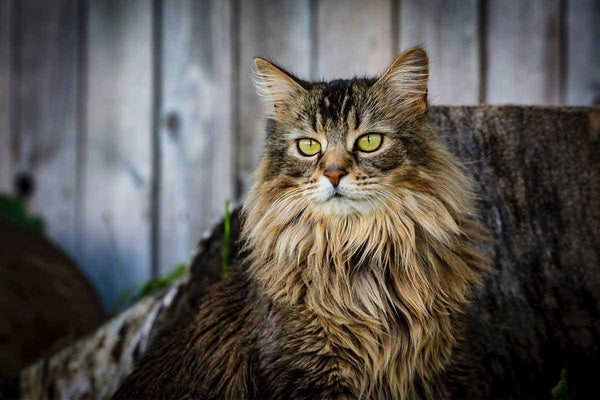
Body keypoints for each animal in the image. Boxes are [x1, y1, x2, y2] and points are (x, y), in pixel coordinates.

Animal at [112, 47, 488, 400]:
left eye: (369, 141)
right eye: (308, 146)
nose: (334, 174)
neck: (358, 256)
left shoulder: (443, 367)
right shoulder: (309, 373)